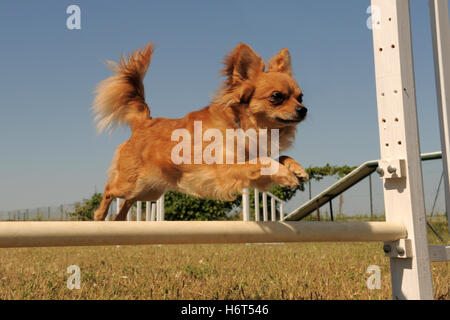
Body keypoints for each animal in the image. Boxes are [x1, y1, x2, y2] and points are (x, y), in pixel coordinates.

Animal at [92, 43, 308, 220]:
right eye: (276, 97)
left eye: (300, 97)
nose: (303, 109)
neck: (242, 127)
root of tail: (145, 122)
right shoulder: (226, 170)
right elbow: (263, 162)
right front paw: (286, 174)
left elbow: (276, 158)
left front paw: (295, 167)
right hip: (130, 183)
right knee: (110, 190)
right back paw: (100, 215)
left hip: (147, 190)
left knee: (127, 201)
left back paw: (118, 220)